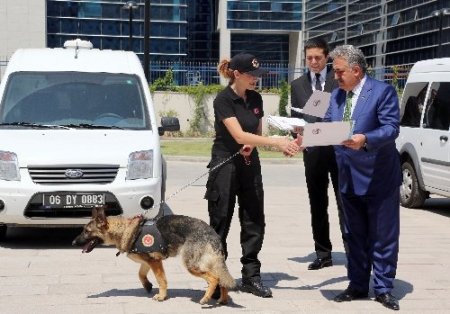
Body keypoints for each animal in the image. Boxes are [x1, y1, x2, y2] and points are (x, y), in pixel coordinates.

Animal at [71, 207, 234, 306]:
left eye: (86, 231)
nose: (73, 242)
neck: (126, 230)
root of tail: (212, 232)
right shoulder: (147, 261)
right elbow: (140, 274)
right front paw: (147, 285)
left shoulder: (155, 262)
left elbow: (161, 280)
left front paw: (161, 296)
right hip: (208, 263)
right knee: (222, 279)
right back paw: (223, 300)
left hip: (192, 266)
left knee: (215, 278)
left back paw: (206, 298)